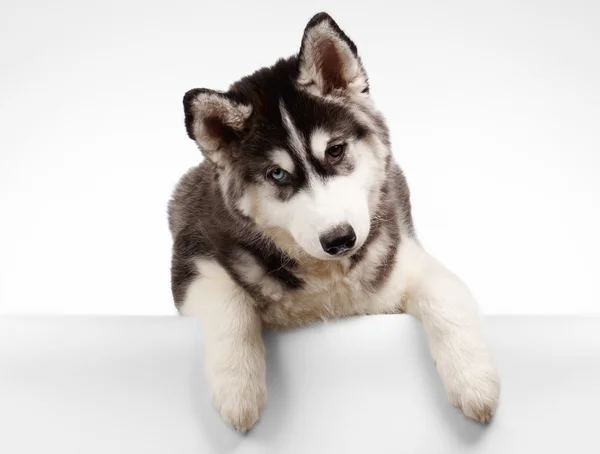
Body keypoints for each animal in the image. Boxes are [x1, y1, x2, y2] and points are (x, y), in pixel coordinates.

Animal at [166, 12, 500, 432]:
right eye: (278, 174)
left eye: (336, 150)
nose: (340, 239)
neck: (326, 278)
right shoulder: (194, 257)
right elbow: (229, 304)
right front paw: (238, 390)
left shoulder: (402, 261)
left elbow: (447, 295)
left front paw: (476, 383)